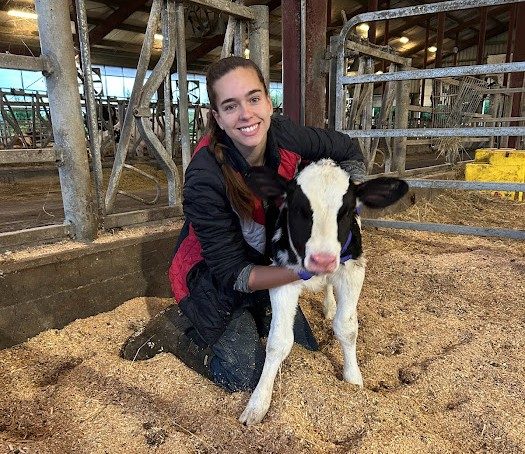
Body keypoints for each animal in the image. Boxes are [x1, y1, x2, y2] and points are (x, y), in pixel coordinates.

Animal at [239, 160, 408, 426]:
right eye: (300, 209)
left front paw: (353, 379)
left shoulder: (352, 269)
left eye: (346, 211)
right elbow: (278, 342)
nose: (323, 260)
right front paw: (258, 403)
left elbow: (346, 328)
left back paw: (329, 306)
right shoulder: (280, 277)